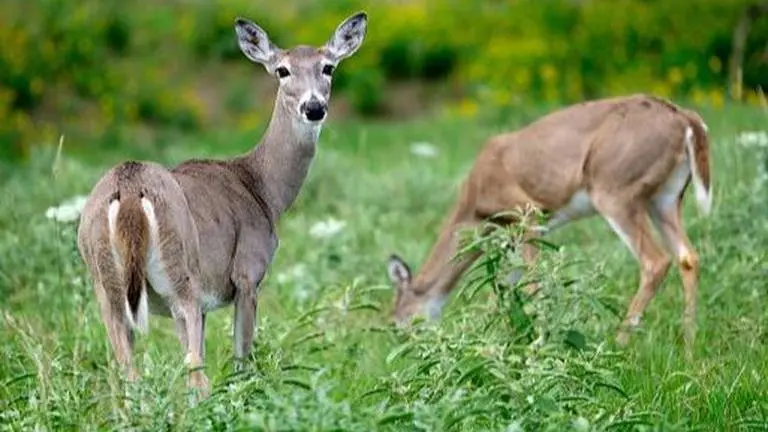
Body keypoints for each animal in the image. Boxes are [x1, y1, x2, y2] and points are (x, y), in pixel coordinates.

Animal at [76, 12, 368, 396]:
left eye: (328, 67)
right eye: (282, 70)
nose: (314, 107)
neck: (263, 190)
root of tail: (128, 189)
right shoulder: (247, 273)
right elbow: (242, 360)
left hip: (107, 285)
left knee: (127, 374)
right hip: (181, 274)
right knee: (194, 372)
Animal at [386, 94, 711, 355]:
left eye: (398, 320)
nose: (407, 348)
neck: (474, 205)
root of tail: (686, 119)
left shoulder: (527, 212)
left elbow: (532, 284)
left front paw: (538, 342)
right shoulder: (514, 233)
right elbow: (504, 287)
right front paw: (491, 341)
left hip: (615, 190)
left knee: (655, 261)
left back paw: (617, 345)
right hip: (666, 197)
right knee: (688, 257)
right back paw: (689, 348)